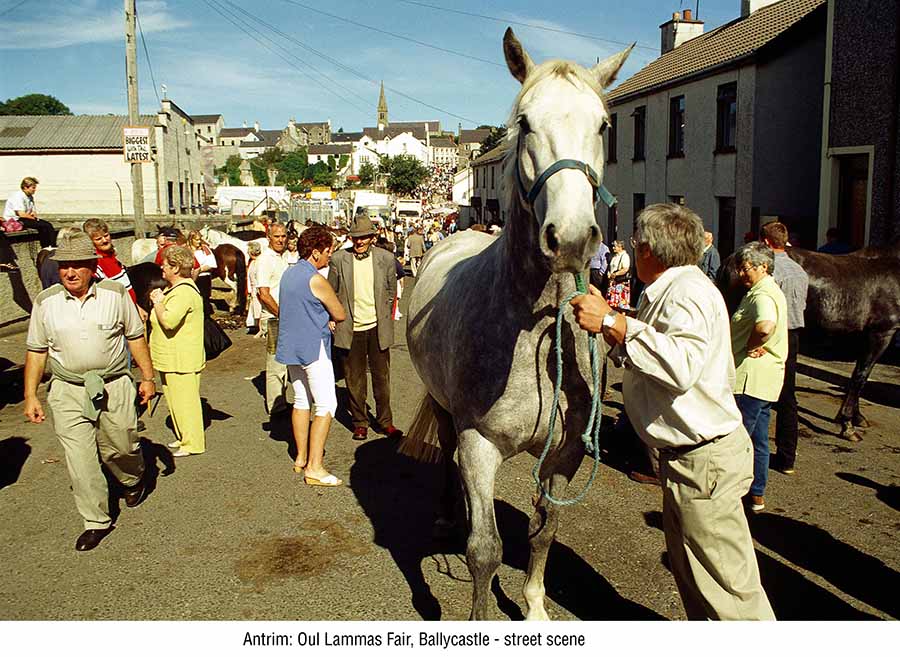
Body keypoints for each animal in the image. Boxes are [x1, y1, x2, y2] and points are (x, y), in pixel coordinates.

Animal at [402, 28, 631, 620]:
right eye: (525, 122)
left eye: (604, 124)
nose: (571, 238)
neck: (531, 335)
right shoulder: (479, 443)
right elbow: (484, 550)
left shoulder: (565, 454)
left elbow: (544, 531)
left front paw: (533, 606)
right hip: (446, 412)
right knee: (448, 456)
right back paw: (448, 509)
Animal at [719, 244, 900, 441]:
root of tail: (732, 258)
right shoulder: (881, 333)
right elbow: (861, 376)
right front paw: (847, 425)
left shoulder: (863, 337)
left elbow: (857, 376)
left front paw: (856, 417)